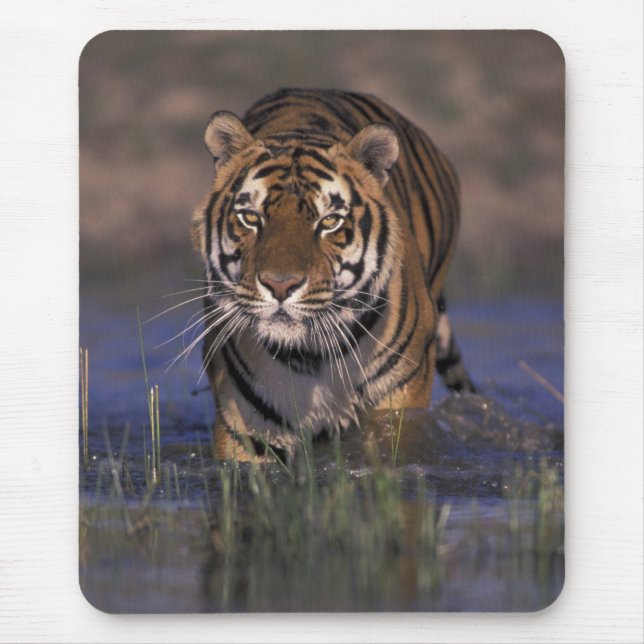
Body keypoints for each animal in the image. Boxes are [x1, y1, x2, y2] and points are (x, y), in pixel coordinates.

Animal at [191, 88, 474, 461]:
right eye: (250, 217)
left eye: (329, 222)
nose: (279, 285)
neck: (310, 356)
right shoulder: (246, 421)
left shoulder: (397, 399)